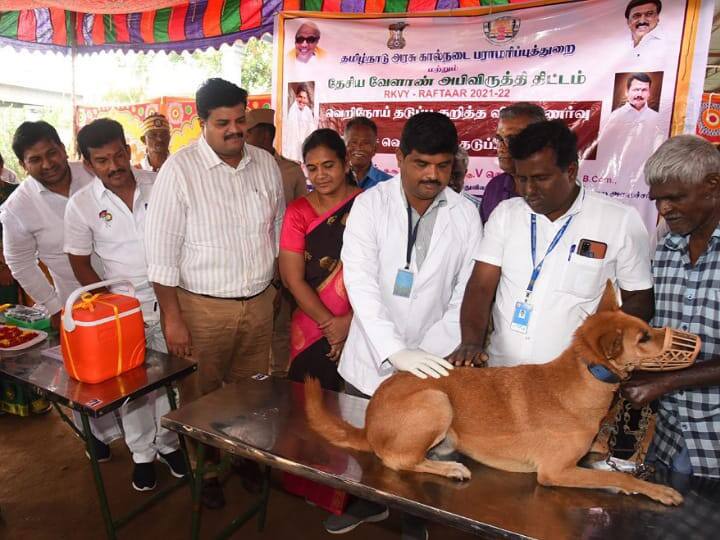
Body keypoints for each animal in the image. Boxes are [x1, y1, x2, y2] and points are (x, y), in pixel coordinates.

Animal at [302, 282, 688, 506]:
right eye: (644, 338)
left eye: (646, 328)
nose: (687, 337)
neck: (583, 374)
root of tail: (368, 424)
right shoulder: (556, 471)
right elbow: (616, 475)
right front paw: (658, 491)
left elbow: (607, 463)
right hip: (436, 400)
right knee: (399, 460)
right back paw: (450, 468)